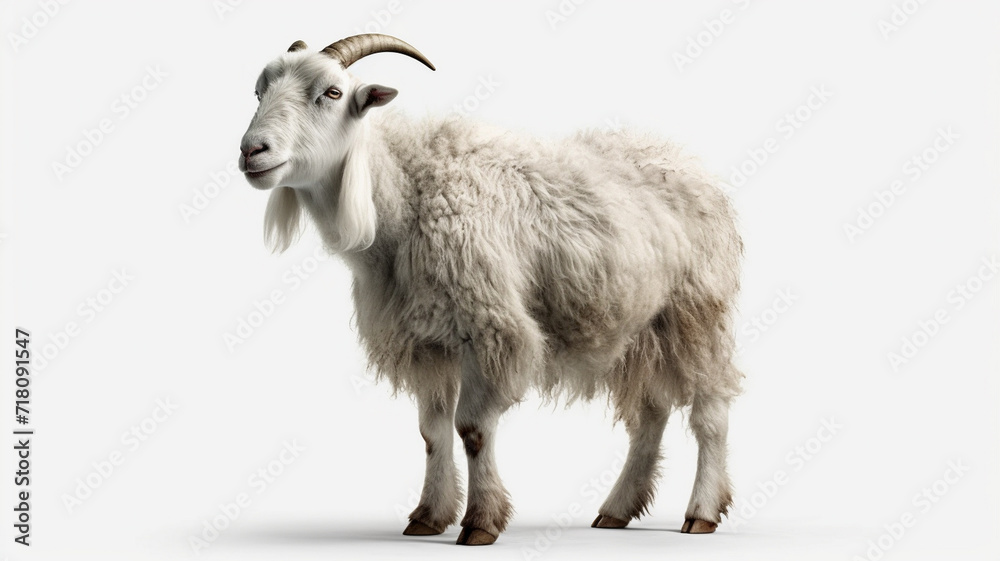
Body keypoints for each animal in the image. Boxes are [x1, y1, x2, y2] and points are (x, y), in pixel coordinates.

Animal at [238, 34, 743, 546]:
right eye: (259, 92)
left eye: (333, 93)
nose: (252, 150)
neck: (405, 193)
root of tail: (686, 162)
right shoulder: (427, 342)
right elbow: (432, 433)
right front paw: (428, 515)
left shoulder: (489, 329)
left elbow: (472, 429)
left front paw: (480, 522)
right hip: (641, 327)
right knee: (650, 415)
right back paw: (617, 509)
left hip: (697, 310)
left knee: (711, 412)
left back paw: (701, 512)